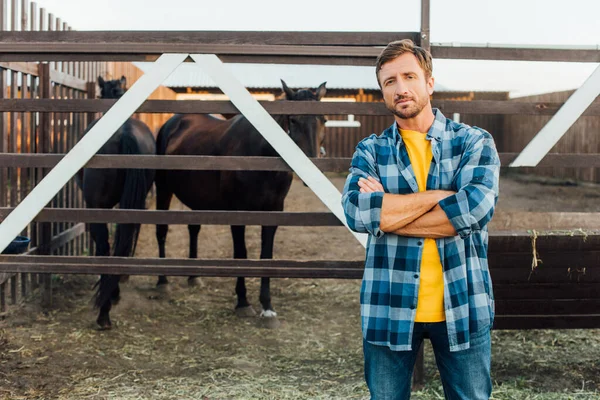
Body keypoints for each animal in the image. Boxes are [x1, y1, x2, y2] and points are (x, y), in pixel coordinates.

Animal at [152, 80, 326, 324]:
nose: (313, 171)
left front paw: (267, 307)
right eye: (293, 120)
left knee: (193, 229)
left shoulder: (273, 212)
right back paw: (162, 281)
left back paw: (194, 276)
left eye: (323, 120)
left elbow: (266, 255)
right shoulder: (237, 212)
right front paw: (243, 302)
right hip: (164, 189)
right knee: (161, 230)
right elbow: (241, 253)